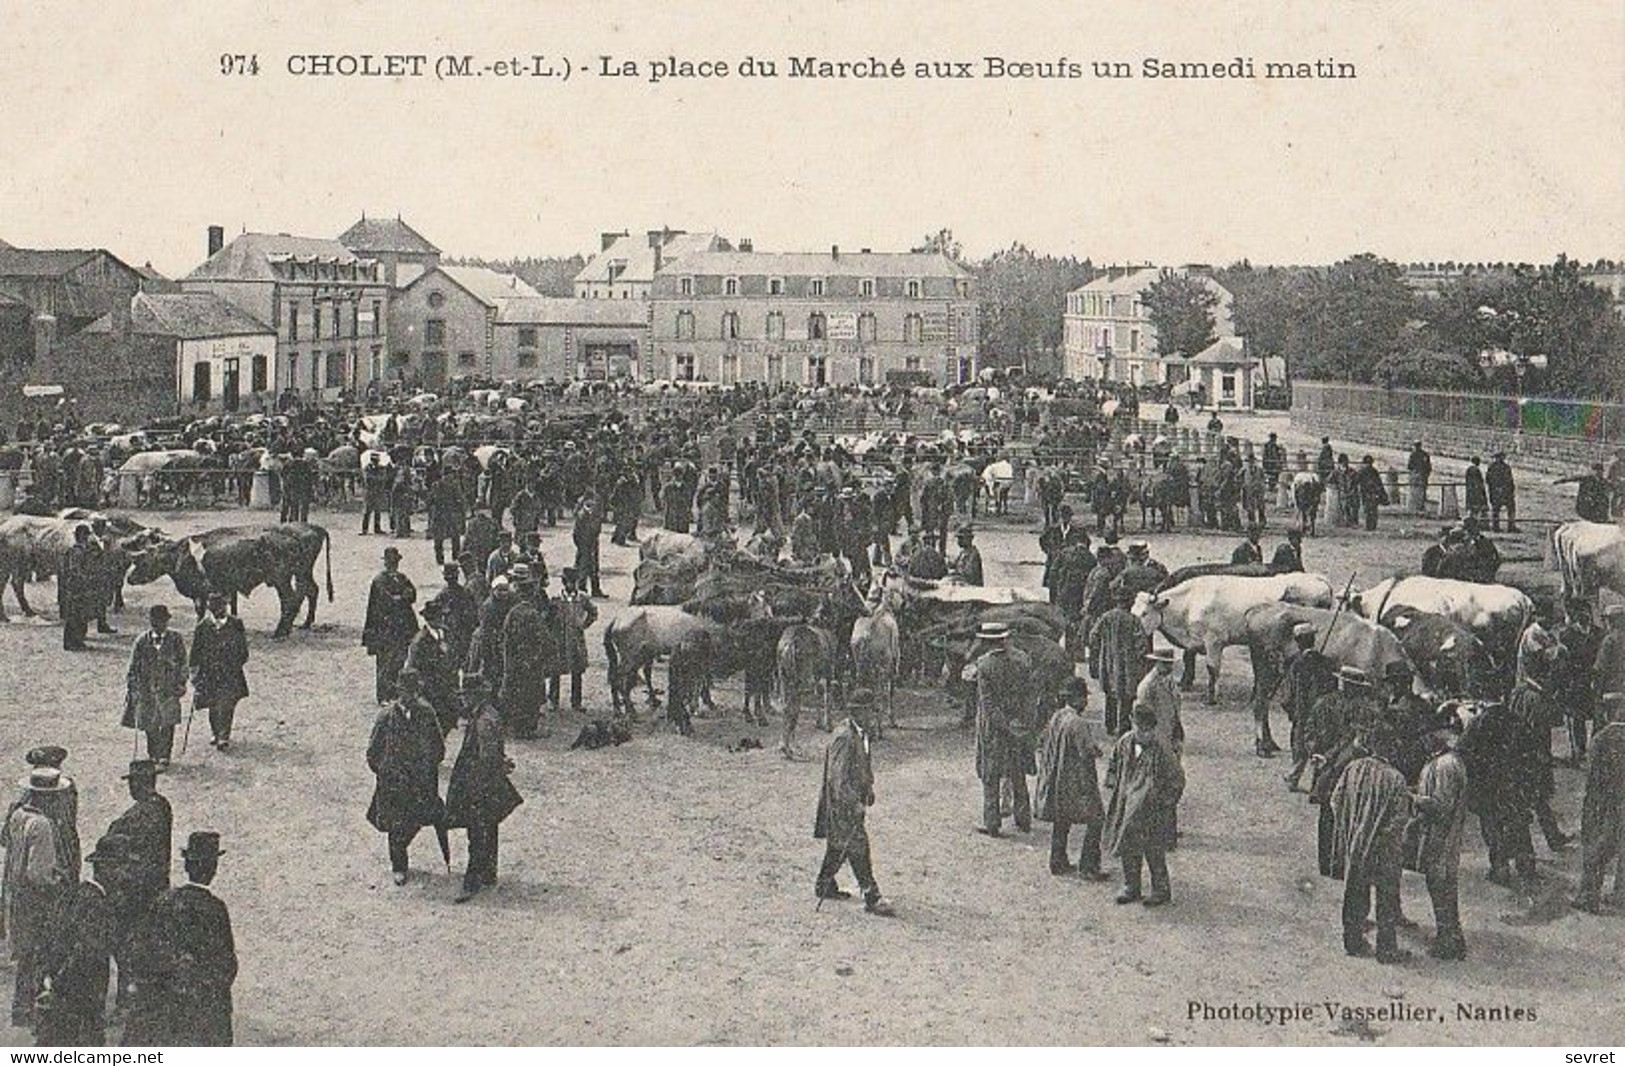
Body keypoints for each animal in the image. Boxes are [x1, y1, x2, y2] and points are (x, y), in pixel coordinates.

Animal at [126, 523, 333, 637]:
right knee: (310, 590)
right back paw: (302, 624)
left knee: (291, 599)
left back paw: (280, 632)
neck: (181, 555)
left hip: (283, 578)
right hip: (299, 574)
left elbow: (202, 611)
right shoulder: (221, 589)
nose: (129, 578)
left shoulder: (203, 591)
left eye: (141, 560)